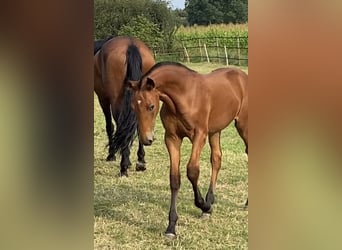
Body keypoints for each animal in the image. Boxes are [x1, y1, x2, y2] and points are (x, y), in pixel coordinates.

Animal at [93, 36, 155, 177]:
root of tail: (131, 45)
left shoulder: (103, 98)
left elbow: (110, 126)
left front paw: (111, 155)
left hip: (115, 101)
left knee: (121, 125)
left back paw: (124, 166)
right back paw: (140, 160)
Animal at [128, 62, 248, 238]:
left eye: (151, 106)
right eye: (133, 107)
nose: (146, 139)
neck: (185, 95)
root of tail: (242, 76)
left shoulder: (199, 135)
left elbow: (192, 171)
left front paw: (204, 206)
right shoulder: (172, 138)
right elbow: (174, 179)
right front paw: (171, 227)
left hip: (243, 126)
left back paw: (244, 203)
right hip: (215, 131)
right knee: (216, 159)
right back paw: (210, 200)